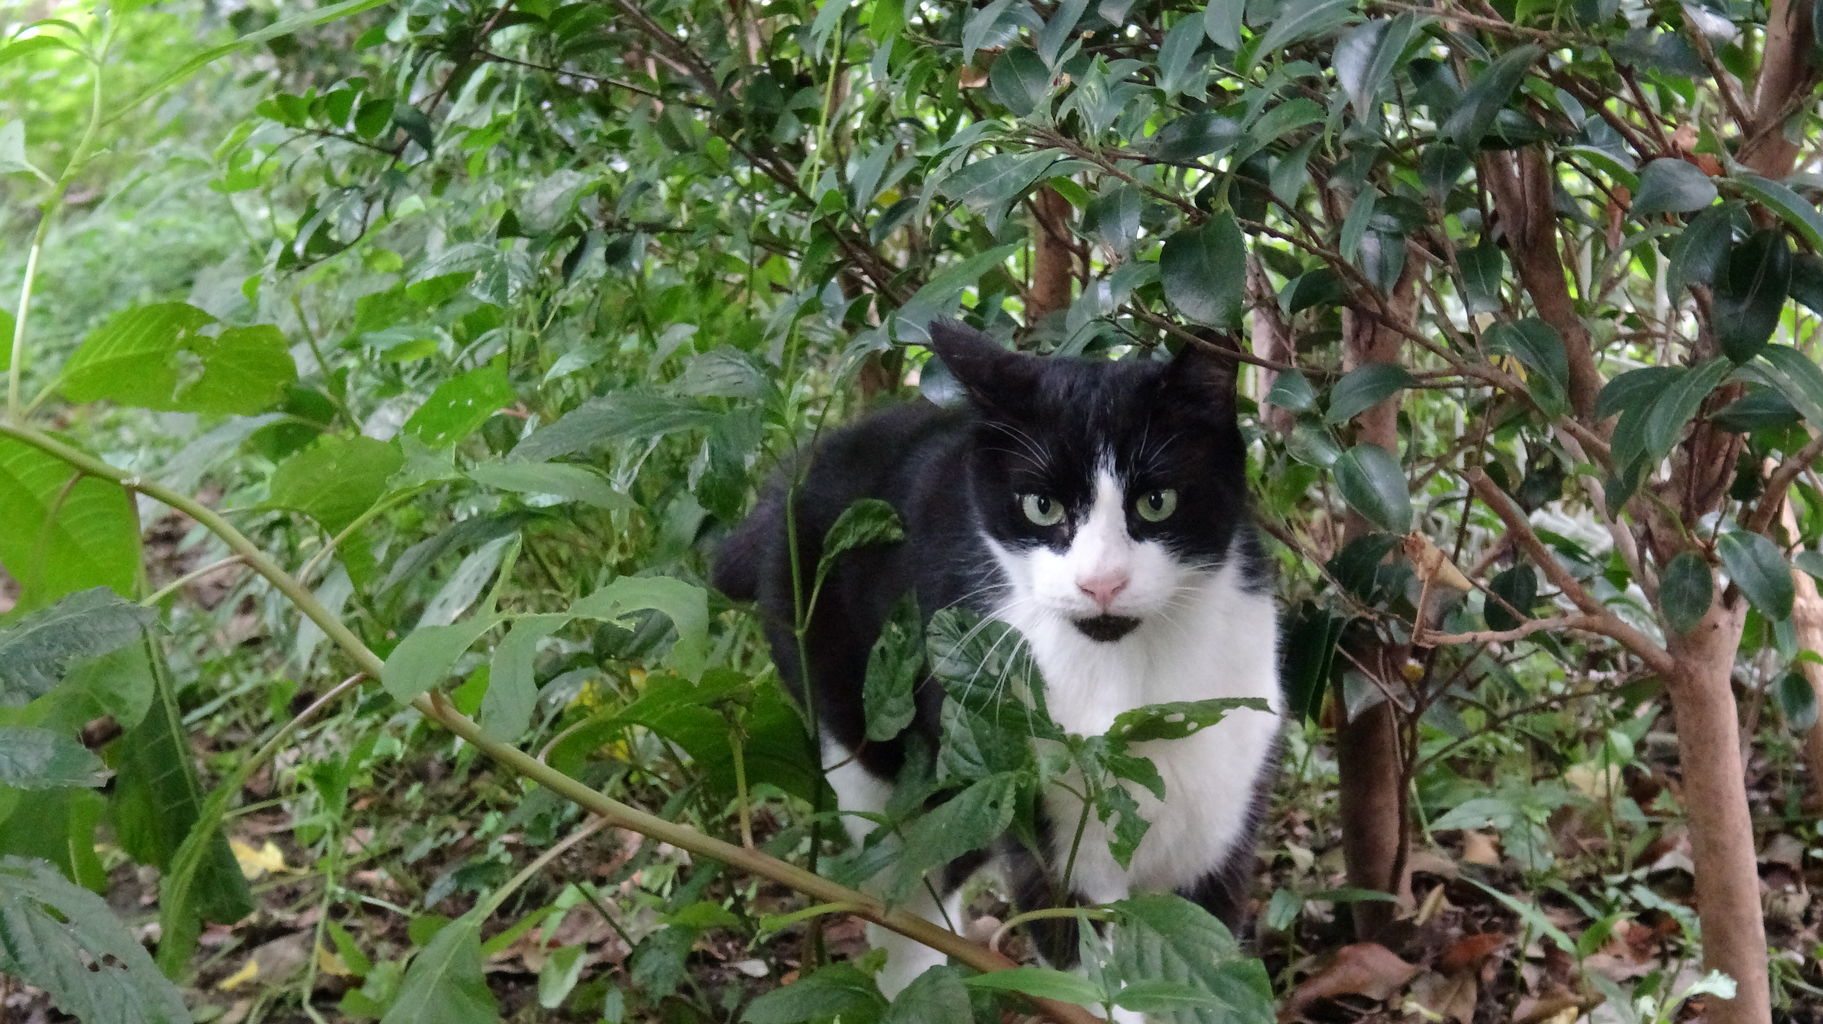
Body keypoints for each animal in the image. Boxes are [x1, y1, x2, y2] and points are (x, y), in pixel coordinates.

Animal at [713, 319, 1282, 1007]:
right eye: (1040, 507)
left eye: (1157, 502)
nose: (1101, 583)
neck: (1129, 674)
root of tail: (796, 473)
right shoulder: (1056, 832)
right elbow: (1087, 968)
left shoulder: (1225, 811)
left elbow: (1203, 961)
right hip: (871, 739)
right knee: (905, 877)